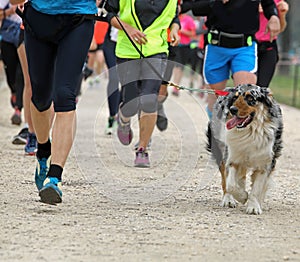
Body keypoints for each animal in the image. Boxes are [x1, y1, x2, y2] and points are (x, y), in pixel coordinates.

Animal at [207, 84, 282, 215]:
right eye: (235, 97)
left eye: (250, 97)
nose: (232, 109)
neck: (250, 132)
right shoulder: (232, 157)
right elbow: (231, 184)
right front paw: (242, 196)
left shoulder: (265, 164)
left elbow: (257, 188)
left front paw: (254, 206)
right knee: (226, 178)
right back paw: (228, 199)